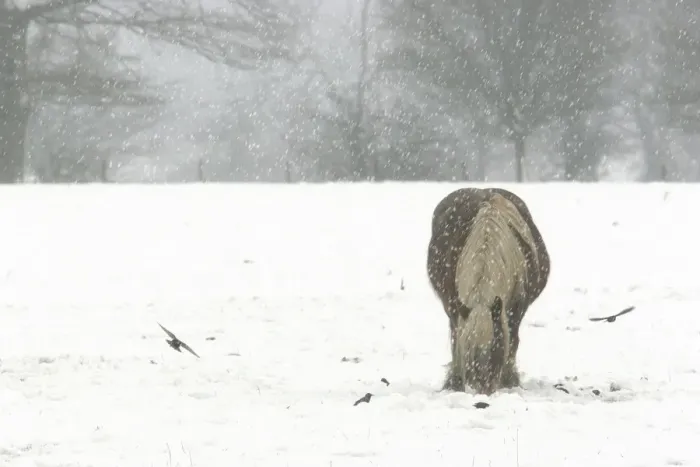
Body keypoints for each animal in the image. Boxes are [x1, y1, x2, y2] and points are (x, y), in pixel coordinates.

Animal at [426, 187, 550, 395]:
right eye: (469, 352)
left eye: (495, 348)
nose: (481, 390)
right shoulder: (454, 306)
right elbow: (456, 340)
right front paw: (455, 382)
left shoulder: (516, 310)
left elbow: (513, 340)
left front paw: (509, 381)